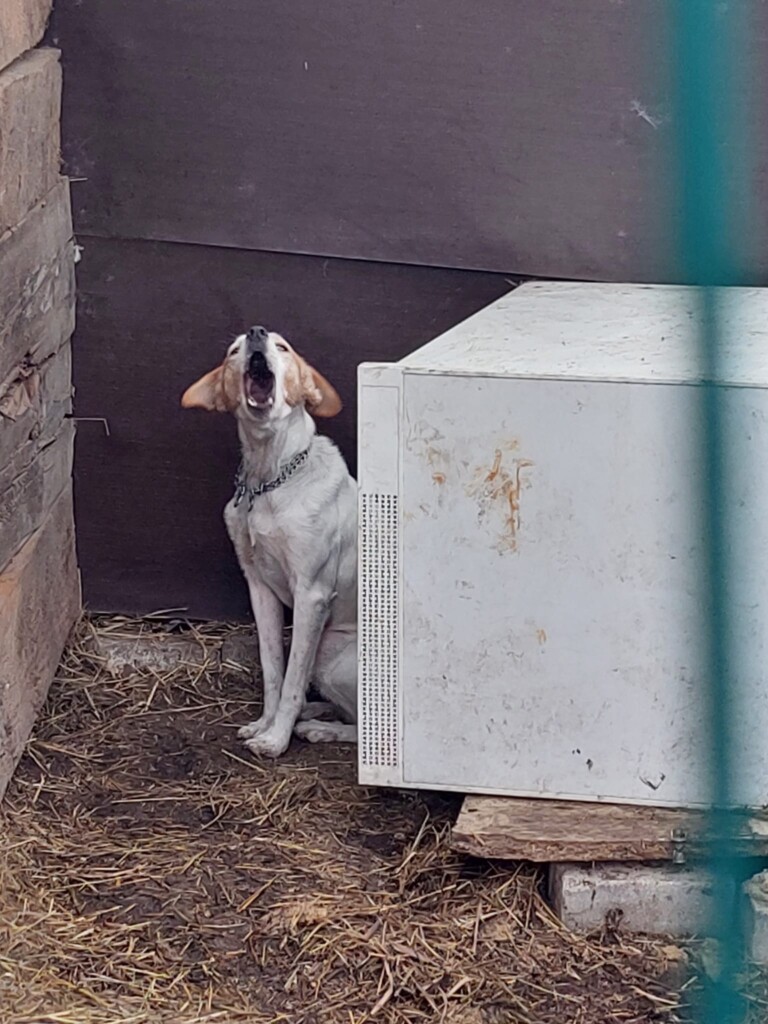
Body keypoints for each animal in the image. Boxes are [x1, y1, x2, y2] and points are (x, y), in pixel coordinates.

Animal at [182, 323, 360, 757]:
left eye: (283, 347)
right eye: (233, 351)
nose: (256, 331)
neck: (269, 478)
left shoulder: (312, 595)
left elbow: (293, 680)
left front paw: (276, 739)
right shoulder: (259, 588)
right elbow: (274, 671)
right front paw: (266, 723)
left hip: (337, 659)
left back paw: (320, 729)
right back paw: (317, 714)